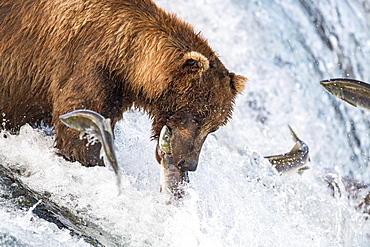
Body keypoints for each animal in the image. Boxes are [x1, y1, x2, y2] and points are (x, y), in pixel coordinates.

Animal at [0, 0, 249, 172]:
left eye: (213, 127)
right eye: (196, 116)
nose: (188, 163)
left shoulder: (115, 91)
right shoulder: (85, 63)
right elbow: (80, 124)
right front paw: (94, 161)